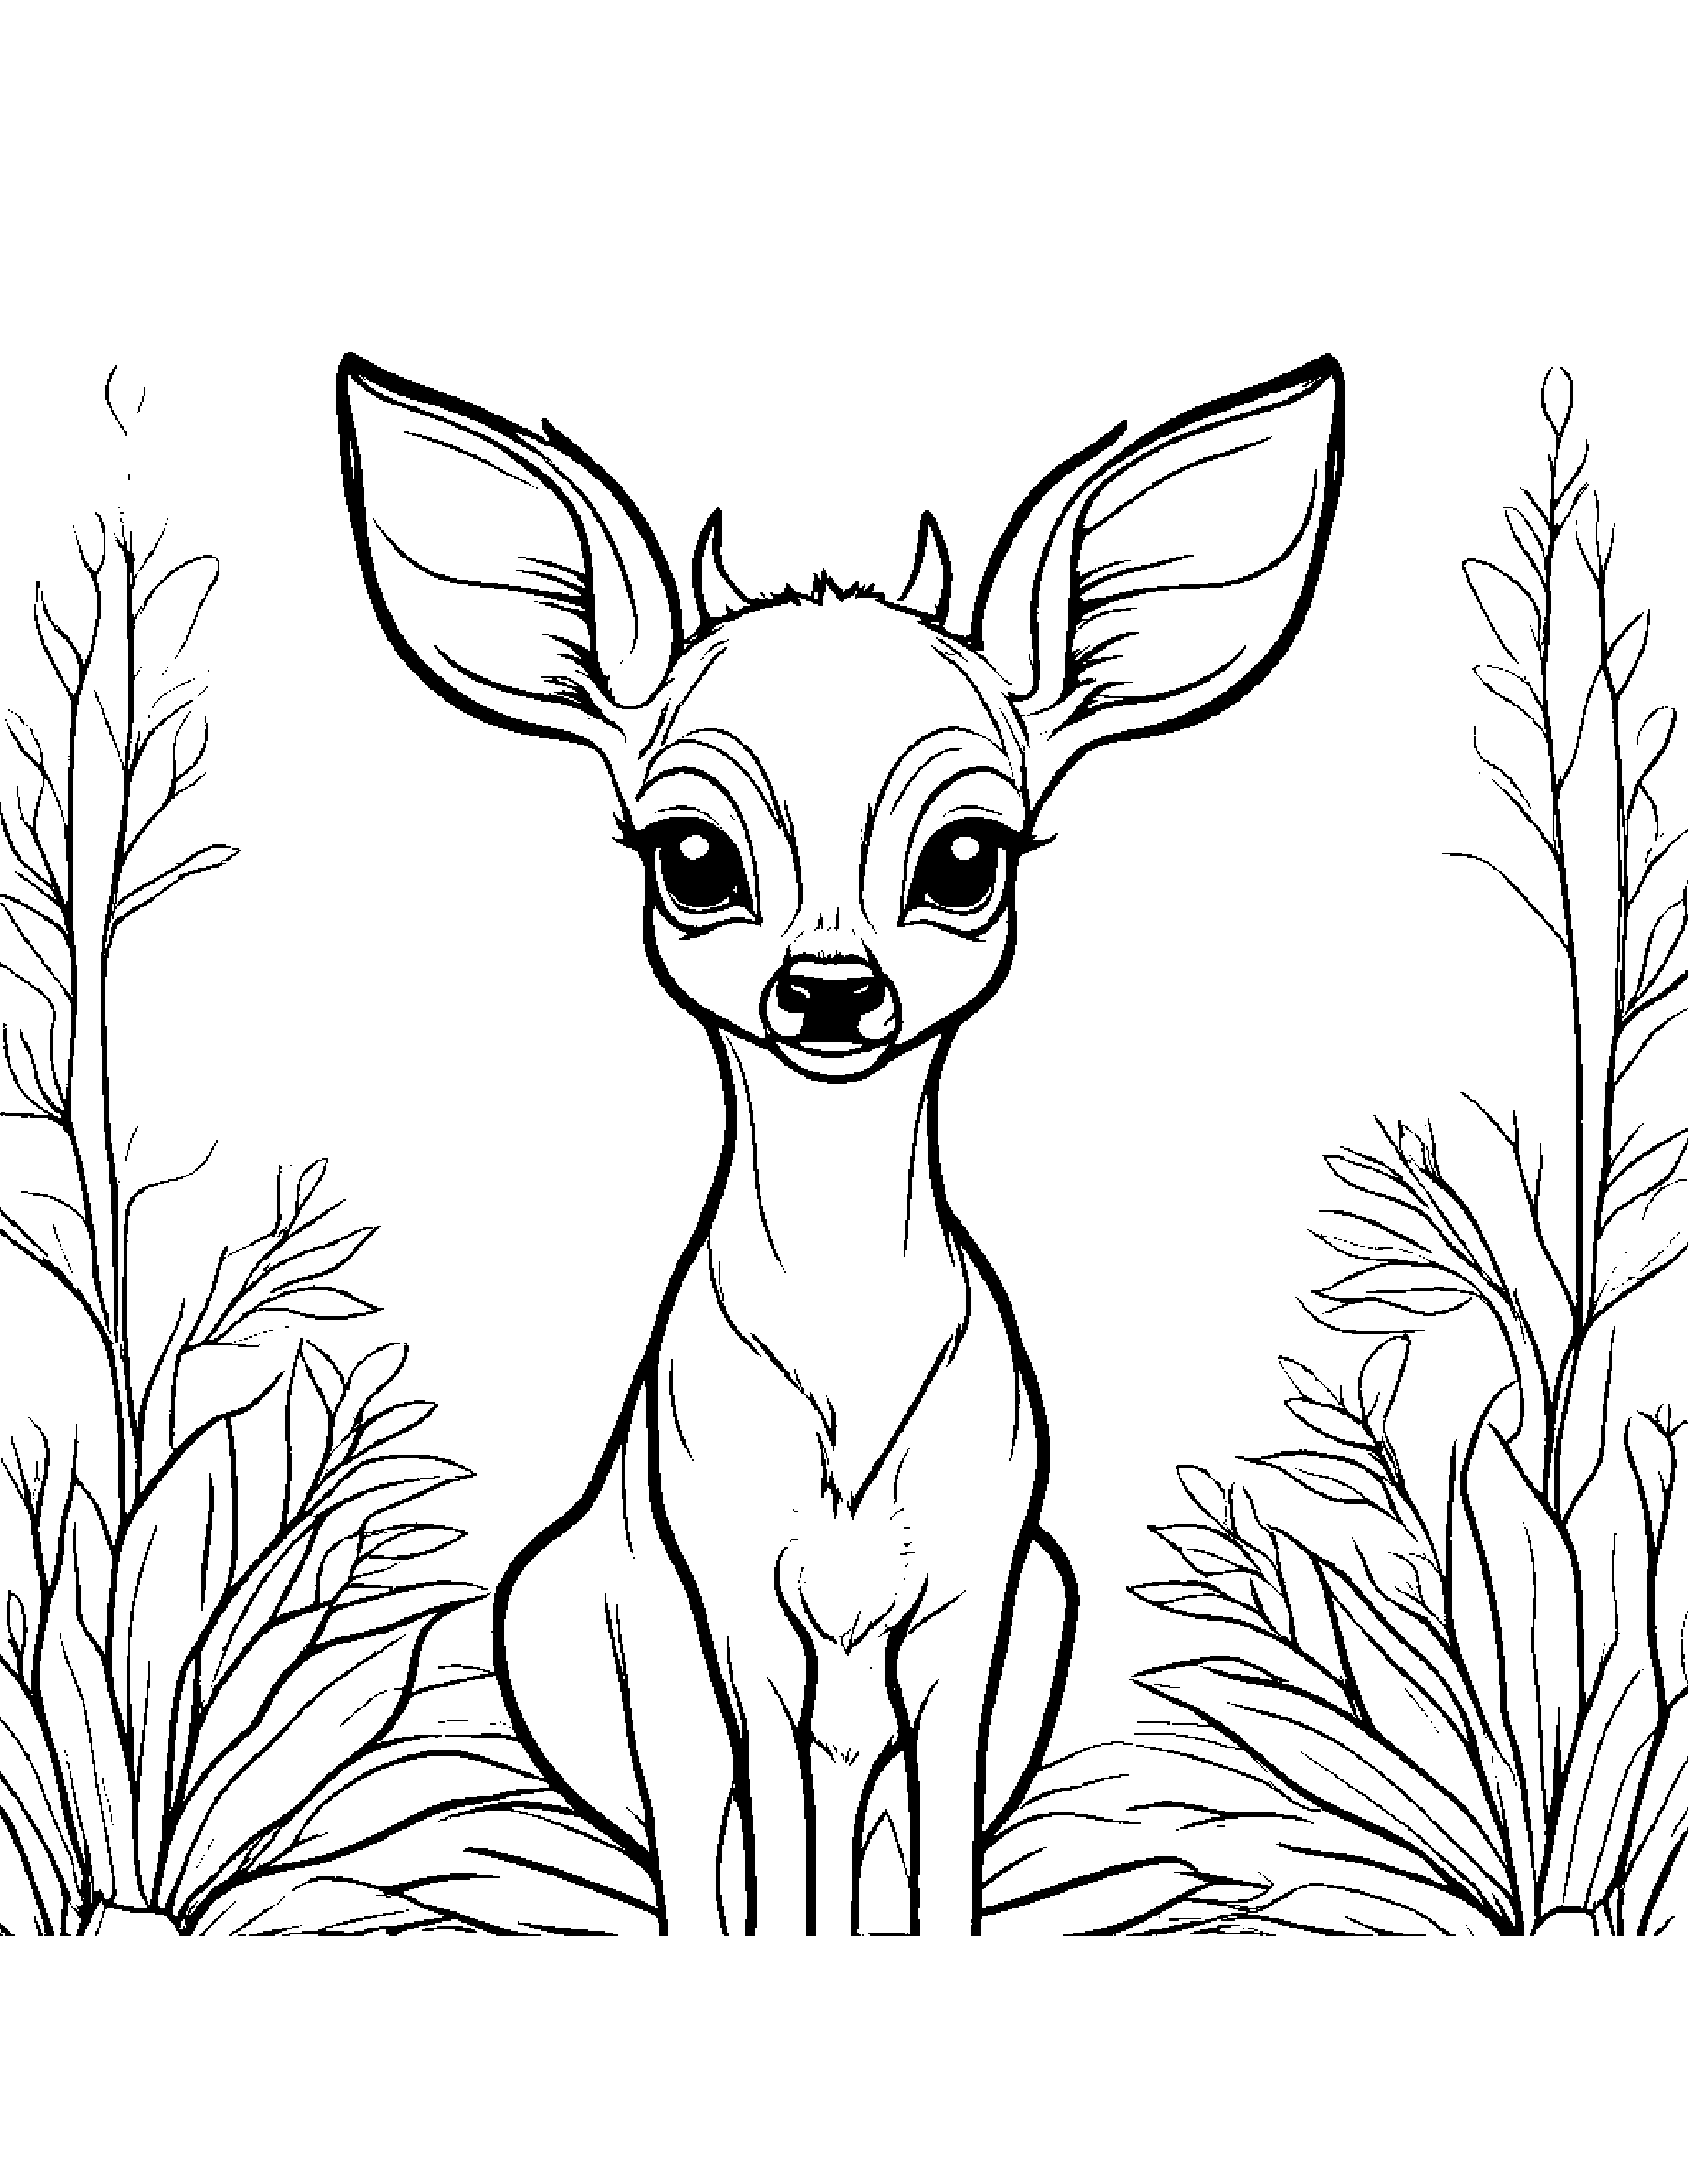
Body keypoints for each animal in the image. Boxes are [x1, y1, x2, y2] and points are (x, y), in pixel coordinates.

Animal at [337, 351, 1343, 1934]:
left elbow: (935, 1863)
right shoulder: (742, 1621)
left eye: (969, 856)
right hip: (607, 1647)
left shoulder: (975, 1618)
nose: (830, 989)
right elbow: (779, 1855)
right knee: (702, 1844)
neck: (843, 1334)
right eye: (690, 855)